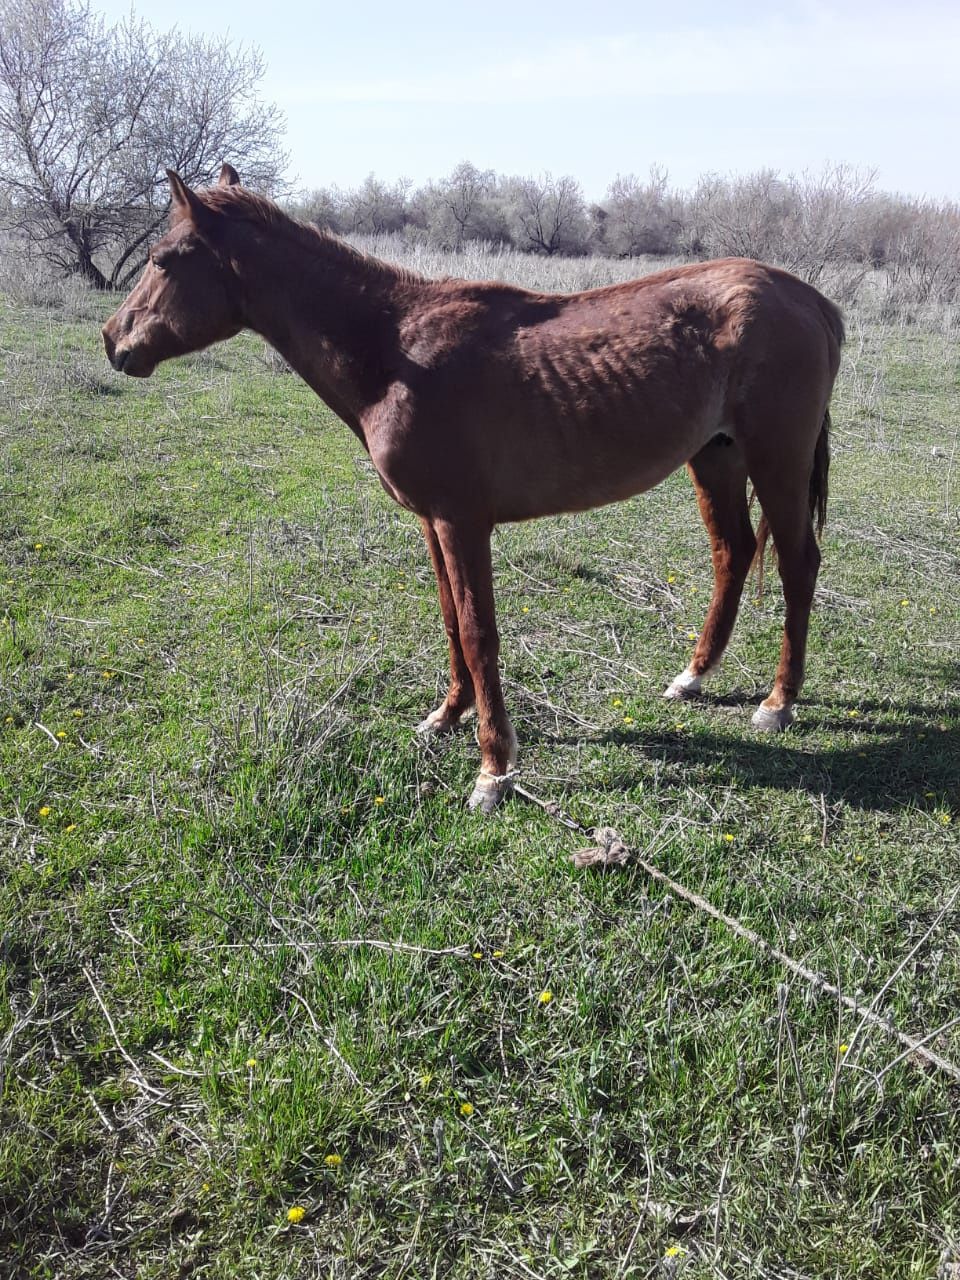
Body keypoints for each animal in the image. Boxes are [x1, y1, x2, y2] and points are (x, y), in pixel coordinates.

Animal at [101, 167, 844, 808]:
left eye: (164, 259)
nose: (113, 341)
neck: (396, 353)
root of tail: (810, 300)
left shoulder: (464, 523)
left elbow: (481, 632)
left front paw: (493, 769)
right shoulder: (434, 522)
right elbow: (452, 620)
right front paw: (446, 716)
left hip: (775, 459)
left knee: (796, 563)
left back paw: (778, 703)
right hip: (715, 458)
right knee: (733, 552)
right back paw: (694, 676)